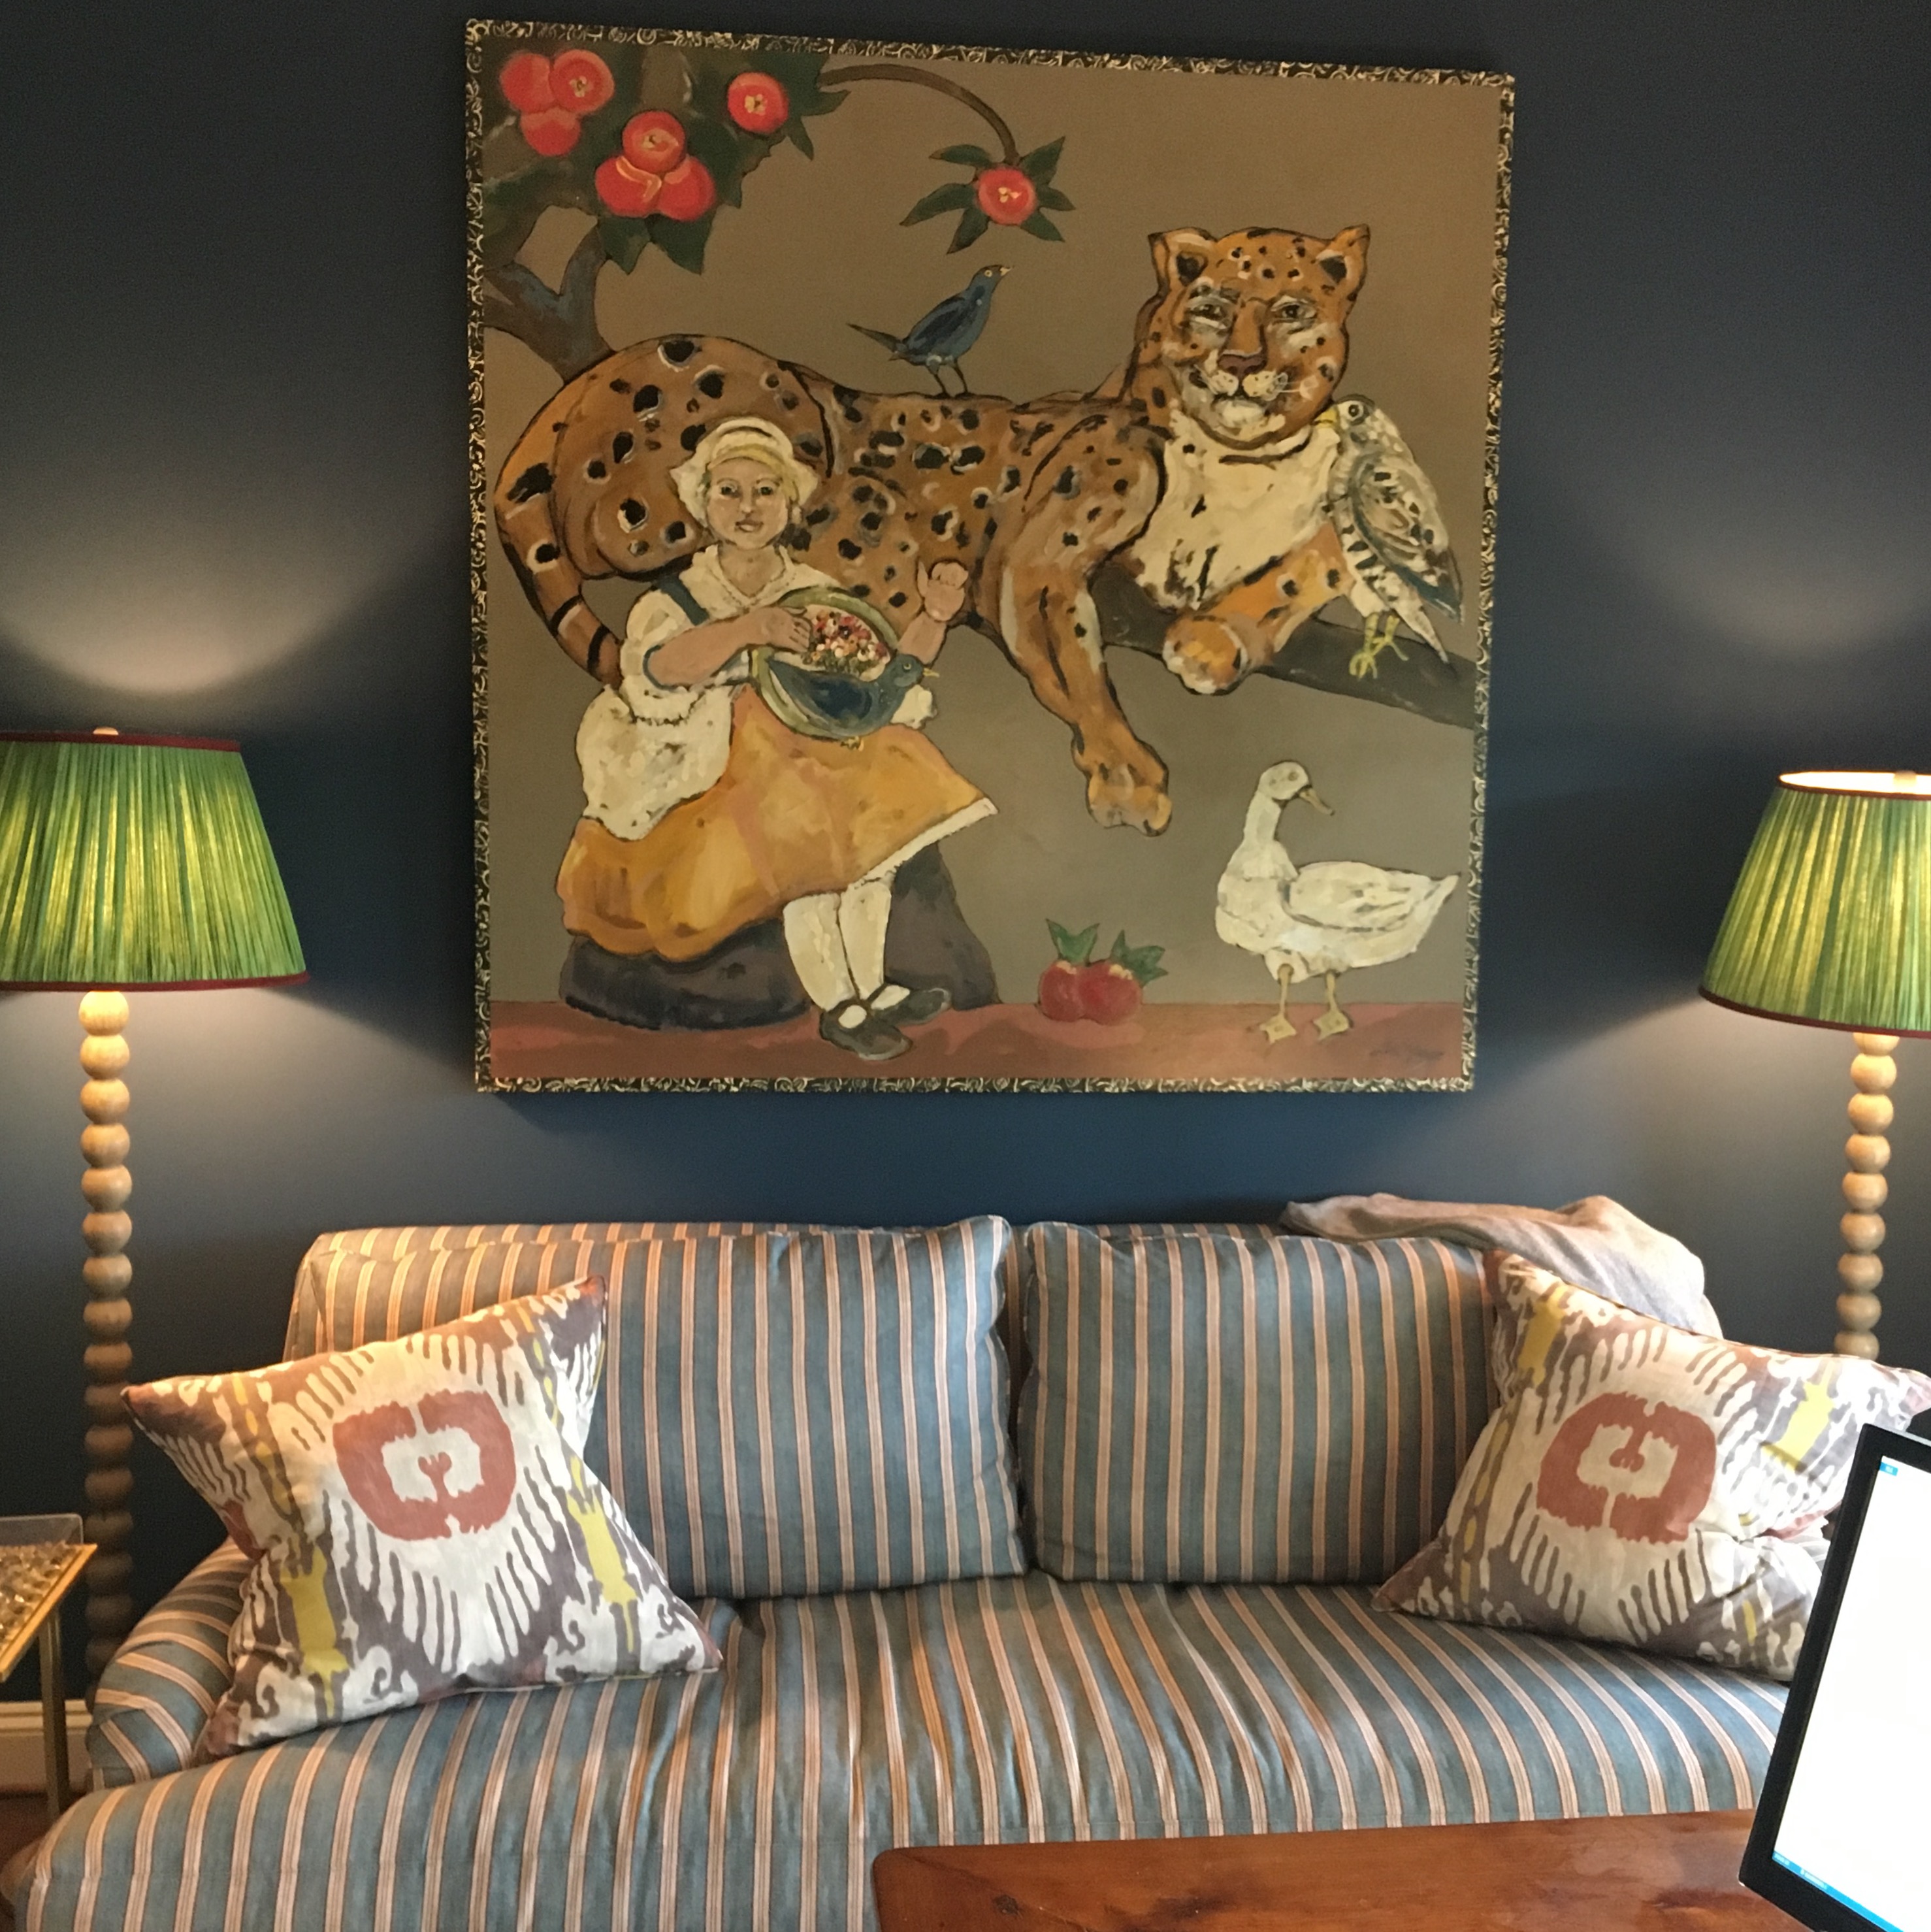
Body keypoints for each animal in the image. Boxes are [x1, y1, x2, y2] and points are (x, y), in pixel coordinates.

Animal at [493, 222, 1372, 836]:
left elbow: (1317, 558)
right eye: (1214, 308)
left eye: (1292, 310)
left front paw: (1214, 641)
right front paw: (1127, 774)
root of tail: (589, 381)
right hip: (773, 415)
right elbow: (1077, 669)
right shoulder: (1039, 561)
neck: (1239, 459)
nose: (1244, 364)